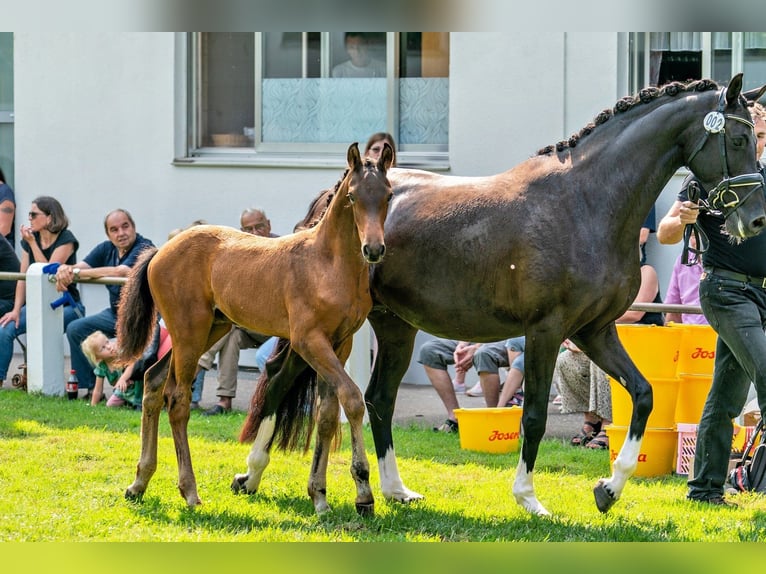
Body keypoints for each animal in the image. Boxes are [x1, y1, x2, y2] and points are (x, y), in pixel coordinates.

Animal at [120, 143, 396, 512]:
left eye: (388, 194)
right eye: (352, 196)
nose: (374, 249)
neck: (328, 264)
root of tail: (161, 250)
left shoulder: (340, 343)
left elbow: (325, 414)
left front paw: (319, 495)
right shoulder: (309, 341)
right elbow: (351, 399)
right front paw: (363, 492)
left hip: (210, 330)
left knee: (152, 382)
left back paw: (139, 482)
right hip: (189, 331)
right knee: (177, 399)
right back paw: (189, 491)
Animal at [260, 73, 766, 516]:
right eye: (741, 140)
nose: (756, 219)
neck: (586, 204)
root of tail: (338, 193)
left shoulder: (594, 331)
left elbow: (643, 395)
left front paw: (609, 488)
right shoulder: (546, 331)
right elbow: (535, 415)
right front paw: (529, 498)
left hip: (394, 326)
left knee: (377, 399)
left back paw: (395, 491)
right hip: (329, 332)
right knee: (281, 381)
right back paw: (254, 474)